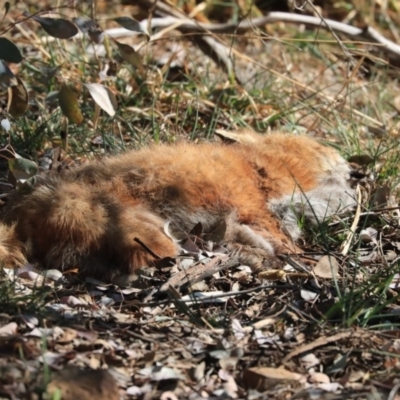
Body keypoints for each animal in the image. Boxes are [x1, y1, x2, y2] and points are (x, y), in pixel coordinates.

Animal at [1, 131, 354, 282]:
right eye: (320, 148)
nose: (349, 163)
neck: (255, 167)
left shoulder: (243, 220)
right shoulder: (254, 211)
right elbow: (283, 245)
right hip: (151, 235)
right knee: (138, 262)